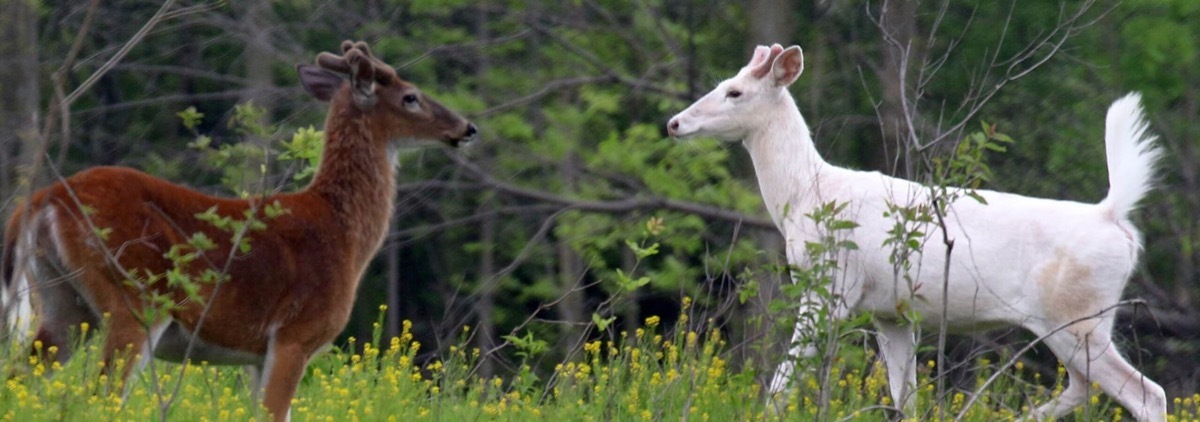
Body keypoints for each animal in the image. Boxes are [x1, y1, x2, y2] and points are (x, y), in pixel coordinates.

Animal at [1, 40, 477, 422]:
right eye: (410, 97)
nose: (467, 127)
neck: (343, 234)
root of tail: (41, 200)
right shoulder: (295, 334)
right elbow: (273, 415)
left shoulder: (256, 354)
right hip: (134, 296)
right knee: (102, 395)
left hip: (63, 300)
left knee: (20, 376)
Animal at [667, 43, 1161, 422]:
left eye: (734, 91)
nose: (675, 123)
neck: (807, 193)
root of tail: (1113, 217)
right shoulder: (892, 313)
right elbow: (904, 397)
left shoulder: (833, 286)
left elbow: (783, 382)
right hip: (1078, 322)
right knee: (1084, 387)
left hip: (1075, 316)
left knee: (1145, 393)